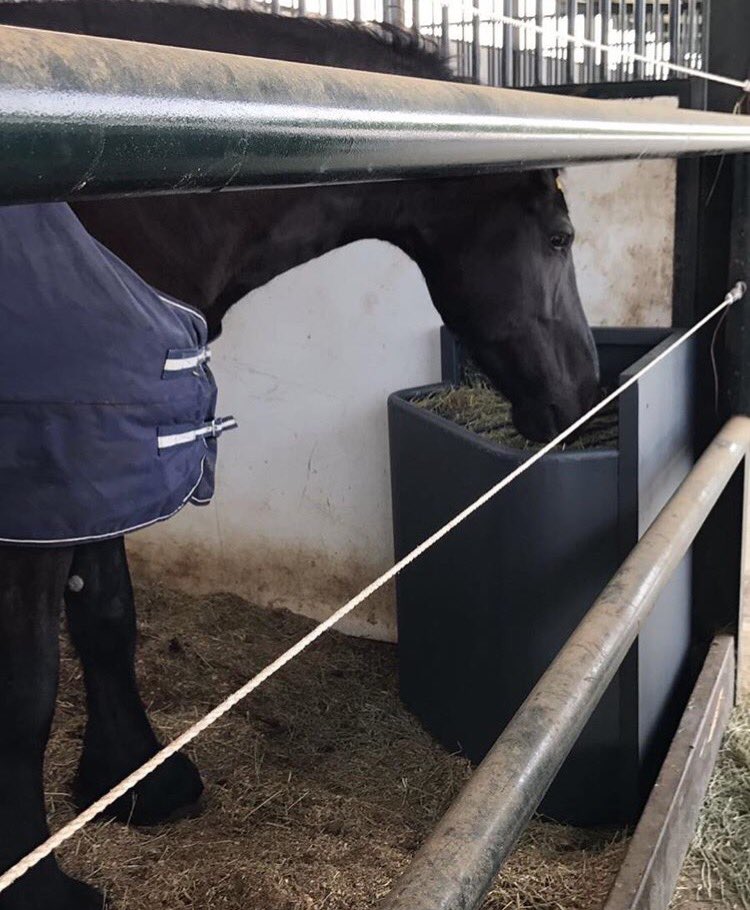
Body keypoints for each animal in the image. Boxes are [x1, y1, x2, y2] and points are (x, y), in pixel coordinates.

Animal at [0, 4, 600, 908]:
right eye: (559, 238)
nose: (587, 390)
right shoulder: (42, 488)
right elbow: (28, 686)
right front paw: (37, 882)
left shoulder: (107, 455)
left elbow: (105, 614)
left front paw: (140, 780)